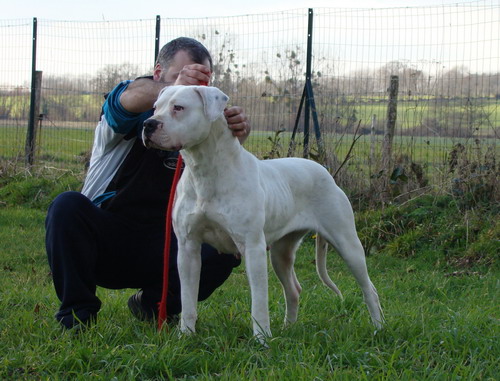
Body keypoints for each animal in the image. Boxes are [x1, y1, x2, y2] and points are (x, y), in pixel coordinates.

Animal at [143, 85, 384, 338]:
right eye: (155, 107)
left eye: (178, 107)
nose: (148, 124)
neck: (205, 170)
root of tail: (324, 171)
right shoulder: (188, 248)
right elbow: (188, 299)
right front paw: (186, 335)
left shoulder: (252, 248)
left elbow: (259, 301)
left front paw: (262, 339)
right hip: (281, 253)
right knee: (293, 289)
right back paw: (289, 328)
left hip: (348, 245)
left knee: (369, 288)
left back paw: (378, 329)